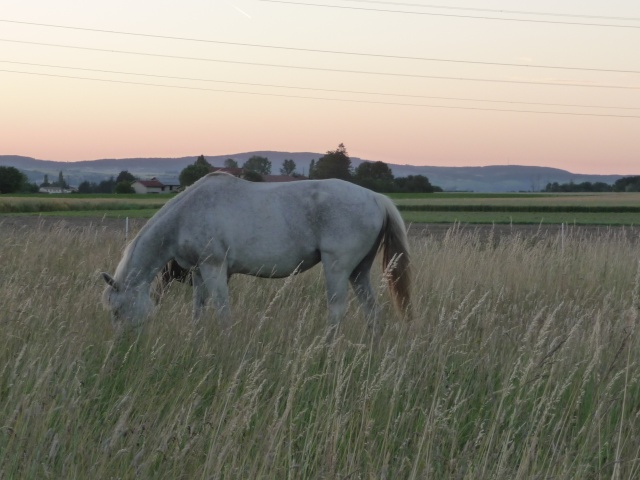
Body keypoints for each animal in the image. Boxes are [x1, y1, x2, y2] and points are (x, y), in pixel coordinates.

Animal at [100, 173, 410, 334]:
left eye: (117, 310)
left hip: (337, 269)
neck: (186, 214)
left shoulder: (215, 269)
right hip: (359, 272)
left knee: (337, 311)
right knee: (372, 311)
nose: (121, 344)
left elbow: (222, 311)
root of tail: (376, 198)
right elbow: (198, 310)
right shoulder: (200, 272)